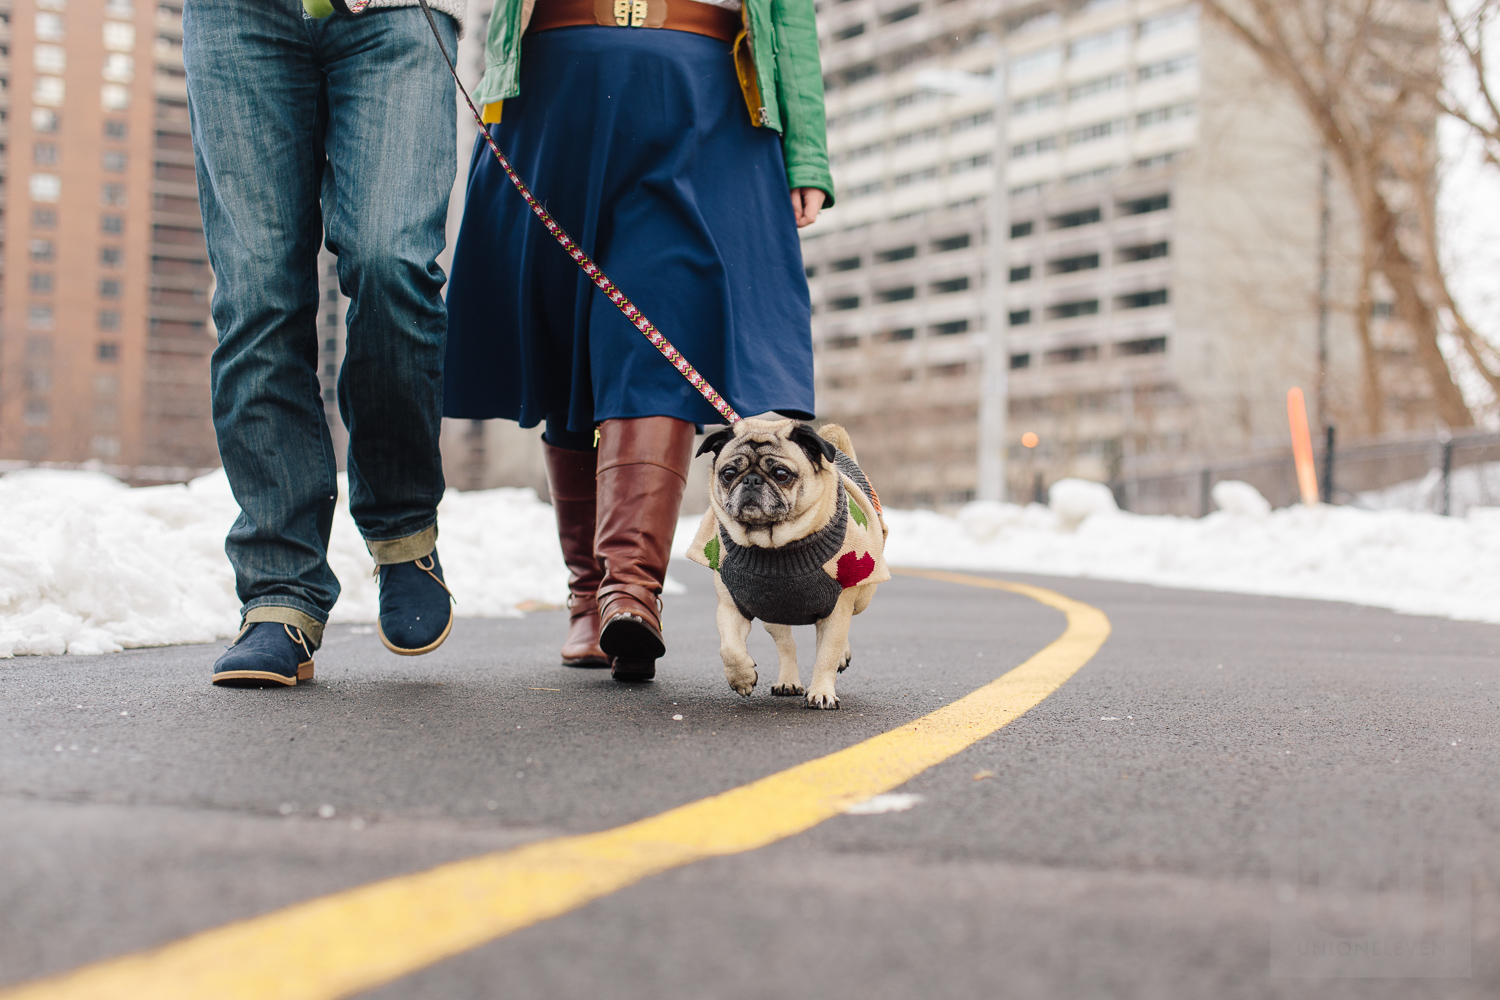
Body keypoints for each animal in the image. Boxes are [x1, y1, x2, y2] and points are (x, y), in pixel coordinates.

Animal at [687, 419, 882, 707]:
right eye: (728, 473)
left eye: (781, 474)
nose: (752, 480)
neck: (774, 546)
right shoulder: (731, 606)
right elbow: (730, 648)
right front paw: (742, 678)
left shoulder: (838, 609)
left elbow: (826, 655)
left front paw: (822, 692)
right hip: (773, 614)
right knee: (786, 646)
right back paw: (787, 681)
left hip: (861, 597)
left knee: (838, 636)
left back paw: (839, 658)